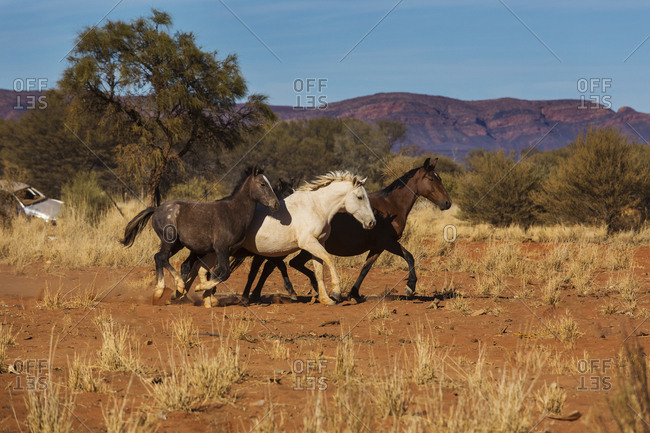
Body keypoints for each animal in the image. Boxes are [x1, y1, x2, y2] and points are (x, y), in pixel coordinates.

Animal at [120, 166, 279, 302]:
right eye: (262, 184)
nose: (276, 204)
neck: (233, 212)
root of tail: (157, 209)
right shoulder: (222, 248)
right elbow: (224, 272)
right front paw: (200, 288)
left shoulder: (225, 251)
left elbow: (216, 272)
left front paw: (207, 295)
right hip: (169, 241)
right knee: (162, 257)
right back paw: (174, 287)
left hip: (177, 245)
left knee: (158, 258)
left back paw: (166, 292)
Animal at [184, 171, 376, 306]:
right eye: (360, 197)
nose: (371, 222)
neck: (316, 207)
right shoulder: (309, 243)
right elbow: (329, 259)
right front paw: (336, 292)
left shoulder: (317, 243)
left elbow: (318, 270)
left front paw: (325, 298)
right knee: (196, 268)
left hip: (215, 252)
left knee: (200, 269)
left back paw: (203, 296)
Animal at [243, 157, 451, 302]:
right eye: (431, 179)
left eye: (440, 178)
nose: (447, 203)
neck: (391, 205)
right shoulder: (388, 242)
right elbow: (409, 257)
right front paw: (410, 287)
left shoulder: (377, 247)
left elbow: (365, 268)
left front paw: (354, 293)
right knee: (271, 265)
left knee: (284, 264)